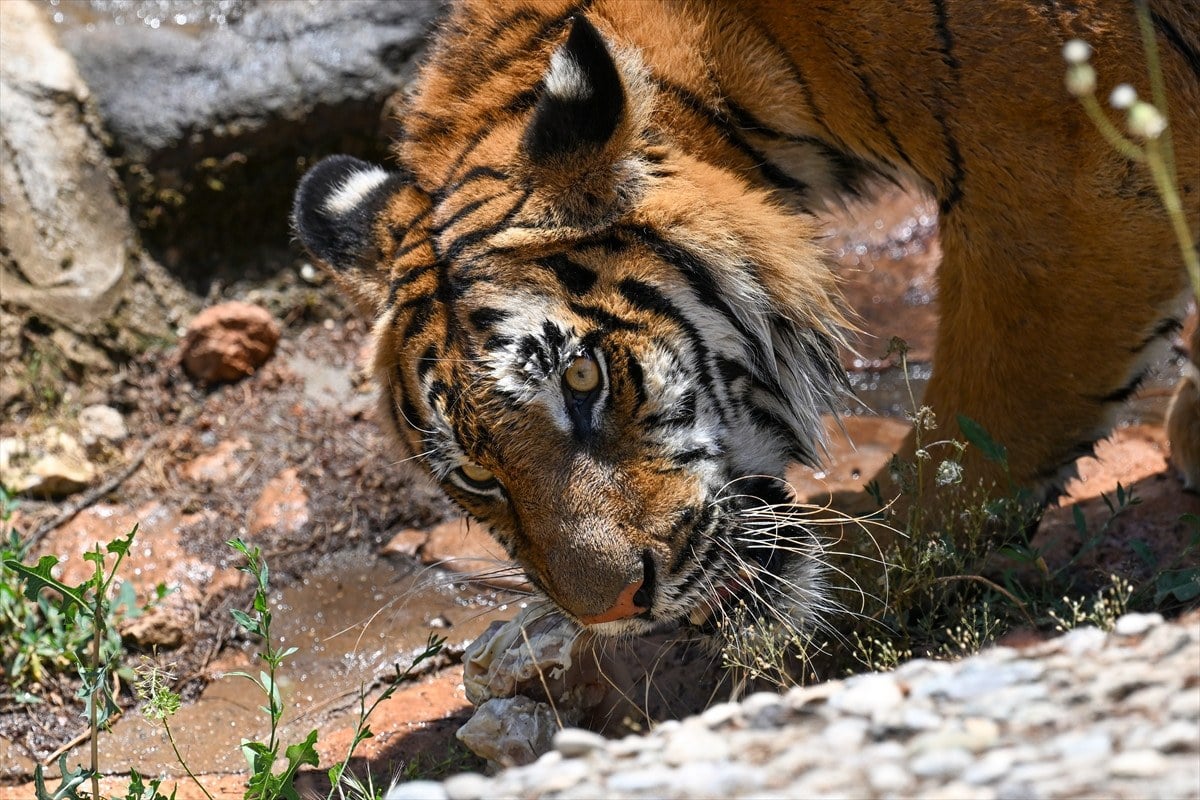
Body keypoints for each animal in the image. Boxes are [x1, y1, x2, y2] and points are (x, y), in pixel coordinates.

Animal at [292, 1, 1200, 638]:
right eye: (477, 478)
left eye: (583, 380)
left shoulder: (1069, 188)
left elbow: (962, 454)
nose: (612, 610)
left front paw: (865, 574)